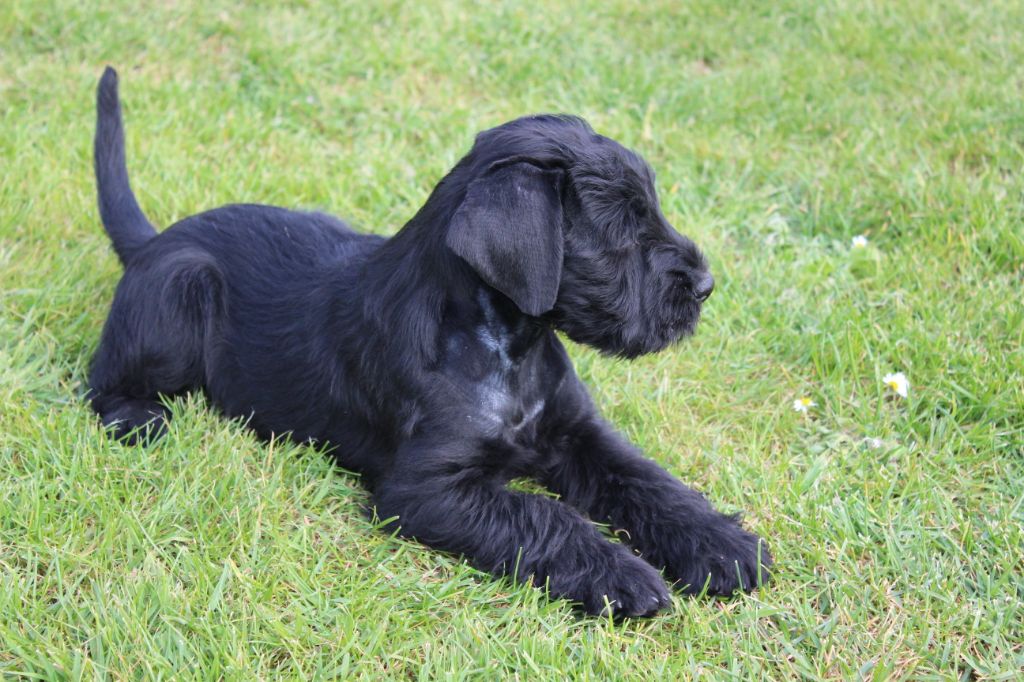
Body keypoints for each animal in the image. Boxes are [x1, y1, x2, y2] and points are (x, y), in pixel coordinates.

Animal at [88, 67, 770, 617]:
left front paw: (723, 545)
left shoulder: (579, 435)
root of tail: (153, 242)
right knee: (102, 380)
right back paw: (138, 418)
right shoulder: (429, 491)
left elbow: (648, 481)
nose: (706, 286)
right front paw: (623, 576)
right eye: (619, 232)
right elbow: (544, 515)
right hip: (180, 292)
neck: (504, 348)